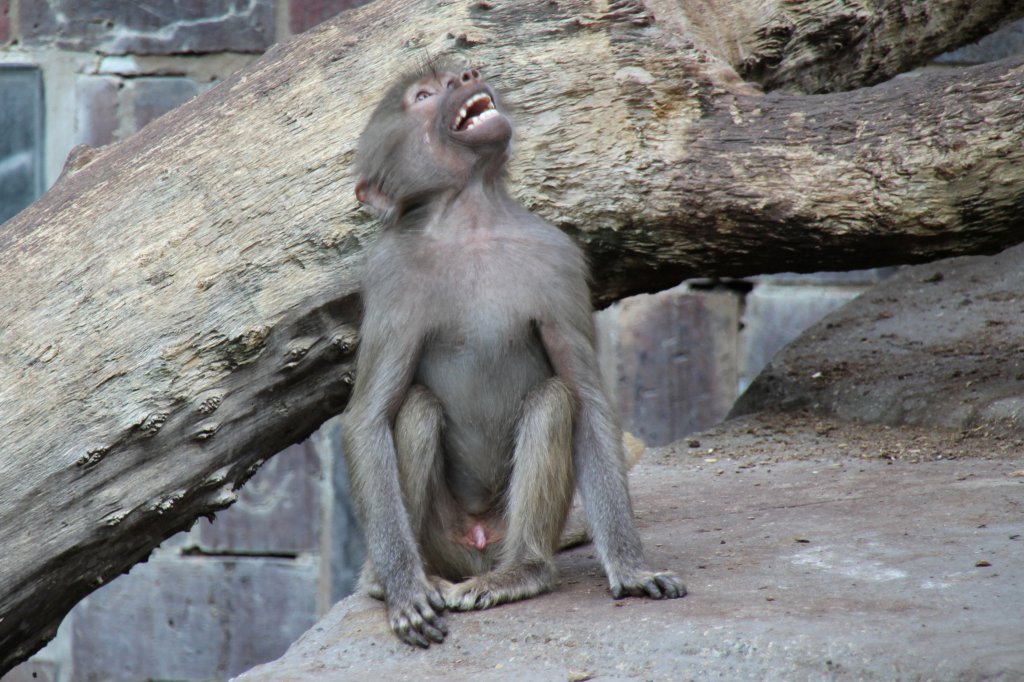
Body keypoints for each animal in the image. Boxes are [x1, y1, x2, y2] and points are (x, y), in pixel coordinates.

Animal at [344, 61, 688, 647]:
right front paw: (404, 594)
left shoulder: (558, 258)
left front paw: (631, 568)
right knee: (415, 409)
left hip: (515, 531)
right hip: (440, 540)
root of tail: (481, 550)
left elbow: (588, 399)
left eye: (449, 80)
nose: (467, 73)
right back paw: (389, 580)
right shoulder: (390, 275)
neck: (473, 221)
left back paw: (523, 572)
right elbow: (367, 417)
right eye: (423, 97)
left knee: (554, 400)